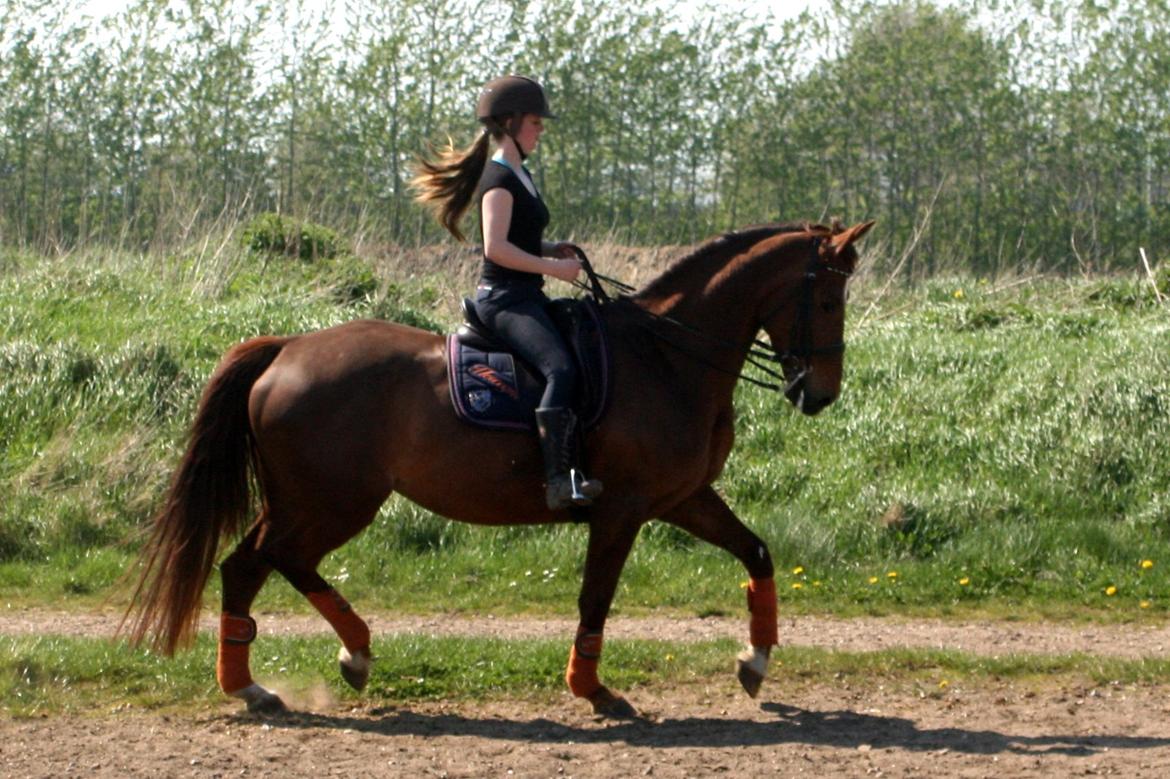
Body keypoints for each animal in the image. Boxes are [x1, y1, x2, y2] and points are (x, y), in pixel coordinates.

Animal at [125, 218, 879, 715]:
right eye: (827, 298)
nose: (820, 393)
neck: (667, 358)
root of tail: (285, 349)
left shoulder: (683, 497)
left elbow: (757, 553)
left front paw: (755, 661)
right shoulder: (622, 508)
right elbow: (595, 597)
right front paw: (593, 689)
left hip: (314, 500)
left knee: (261, 565)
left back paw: (311, 666)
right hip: (331, 500)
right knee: (260, 563)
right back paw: (296, 671)